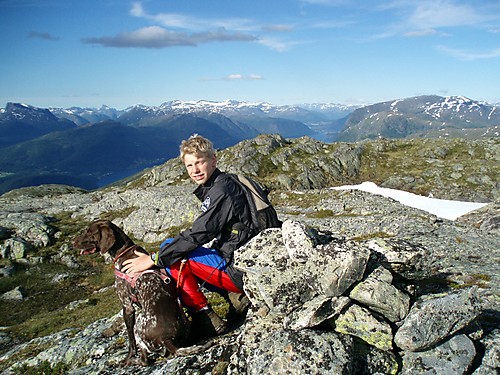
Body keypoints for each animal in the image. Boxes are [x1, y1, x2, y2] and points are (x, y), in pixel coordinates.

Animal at [73, 220, 190, 368]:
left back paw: (133, 361)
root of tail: (167, 338)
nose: (72, 242)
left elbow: (131, 341)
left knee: (145, 360)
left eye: (89, 232)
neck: (123, 252)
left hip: (139, 324)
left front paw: (128, 357)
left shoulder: (127, 306)